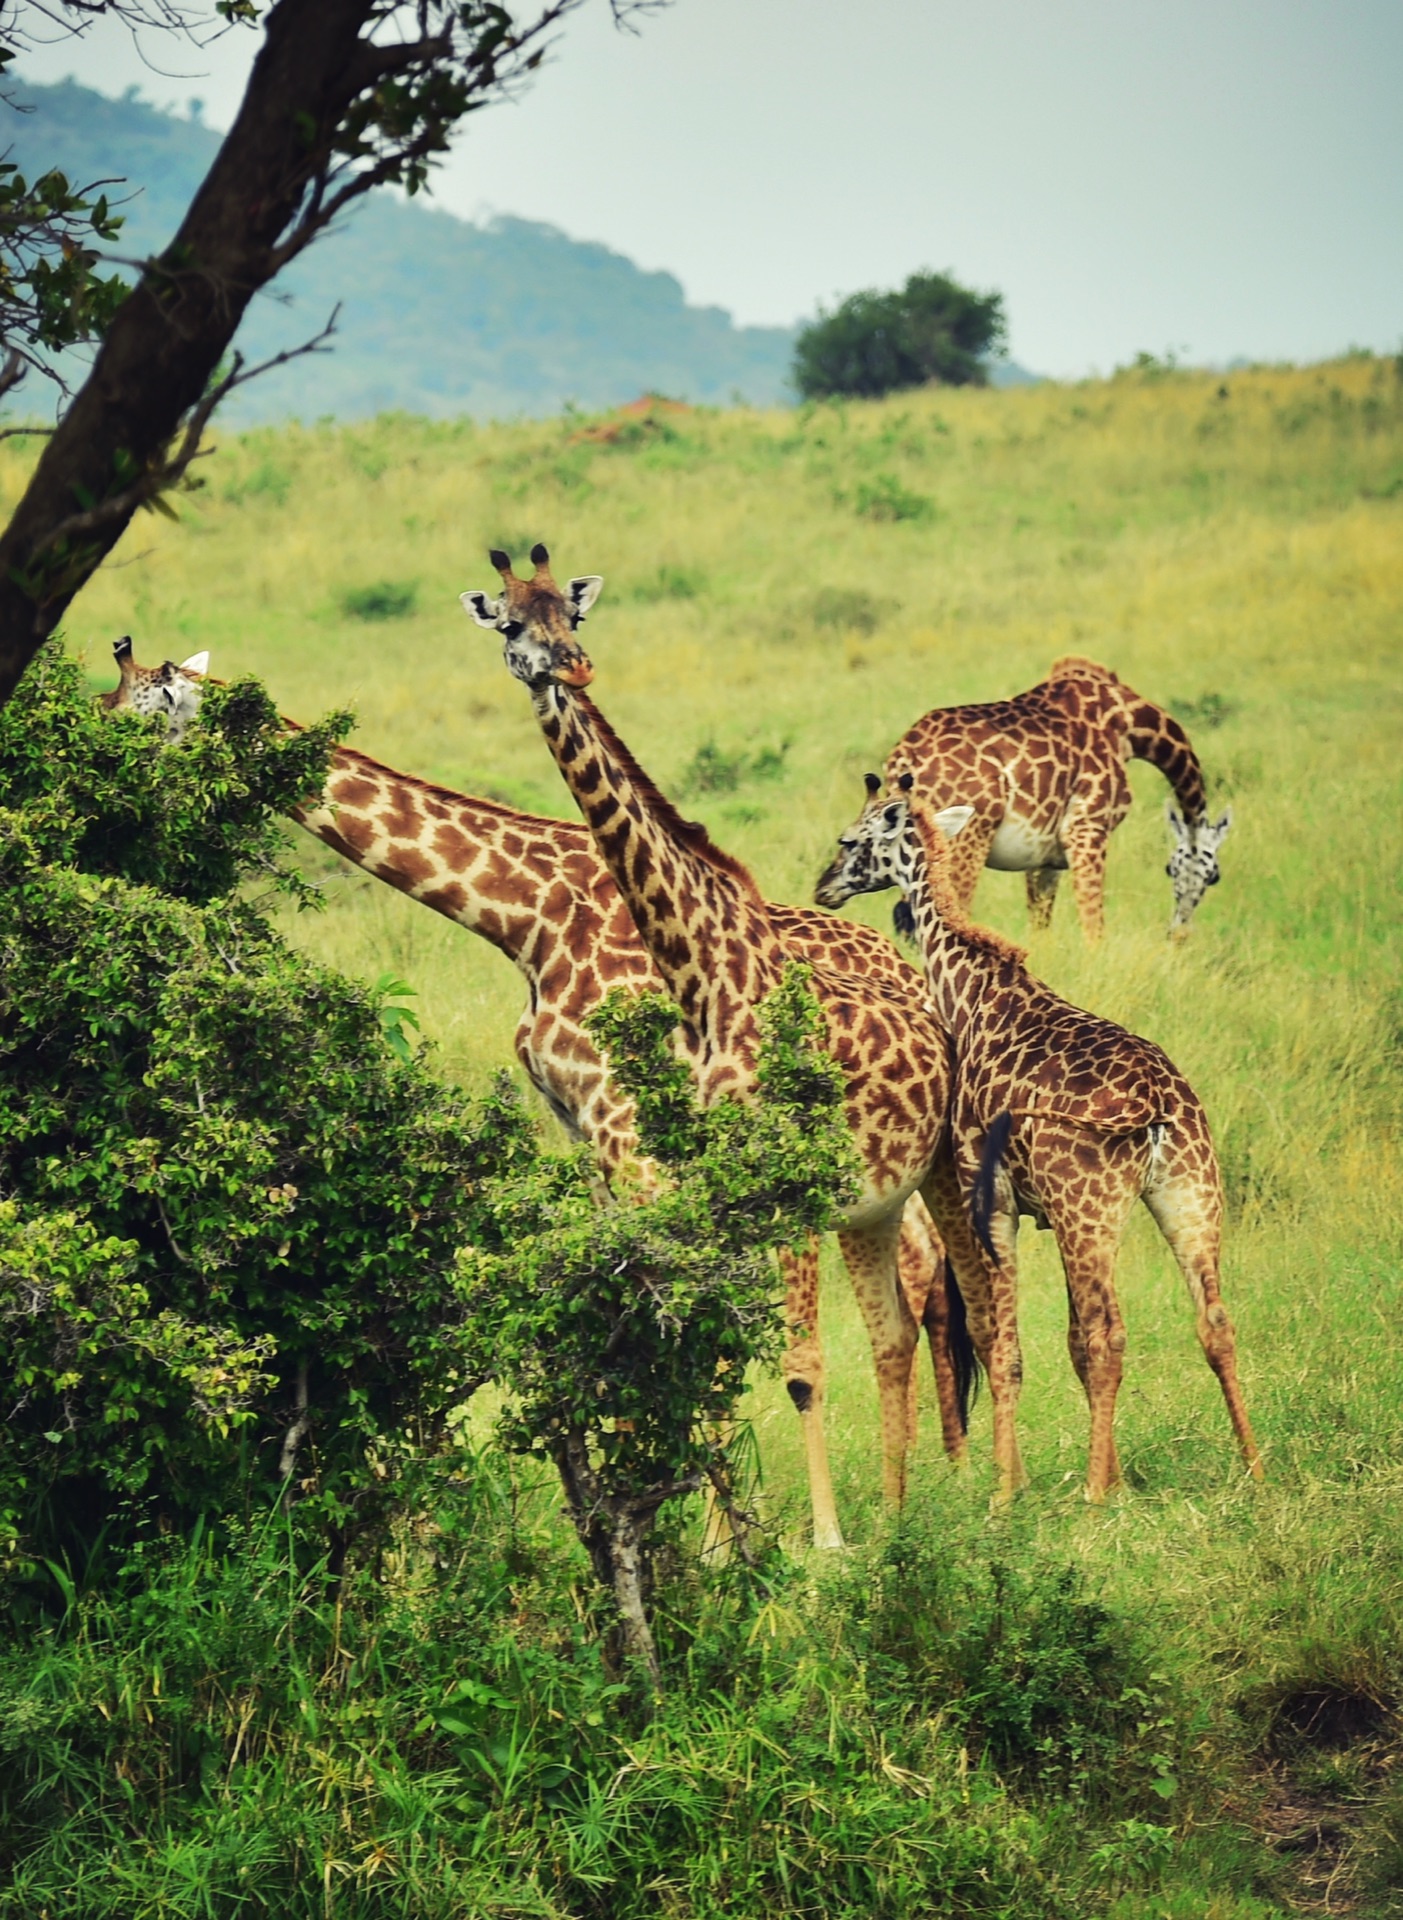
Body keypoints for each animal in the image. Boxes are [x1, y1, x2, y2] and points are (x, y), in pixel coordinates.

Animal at [104, 637, 974, 1551]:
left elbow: (688, 1333)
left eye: (137, 714)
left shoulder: (627, 1127)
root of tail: (895, 962)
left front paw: (707, 1537)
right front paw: (666, 1520)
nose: (94, 761)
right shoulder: (584, 1130)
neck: (526, 917)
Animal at [466, 549, 1028, 1520]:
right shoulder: (717, 1194)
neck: (704, 977)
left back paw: (1000, 1499)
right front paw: (742, 1535)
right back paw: (901, 1510)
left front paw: (821, 1541)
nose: (570, 668)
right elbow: (710, 1357)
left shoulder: (783, 1189)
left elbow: (794, 1363)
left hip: (945, 1171)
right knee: (896, 1330)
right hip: (874, 1201)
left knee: (986, 1310)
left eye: (571, 616)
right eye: (509, 622)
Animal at [813, 768, 1259, 1497]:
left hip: (1091, 1209)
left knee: (1111, 1333)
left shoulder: (992, 1201)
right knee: (1213, 1322)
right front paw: (1102, 1475)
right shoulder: (1038, 1211)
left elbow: (1009, 1345)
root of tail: (1159, 1105)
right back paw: (1254, 1468)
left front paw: (1006, 1493)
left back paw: (1093, 1496)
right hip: (1190, 1192)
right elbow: (1064, 1343)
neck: (967, 991)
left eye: (852, 838)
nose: (825, 884)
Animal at [882, 656, 1236, 940]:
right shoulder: (1087, 828)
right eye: (1214, 876)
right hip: (965, 838)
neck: (1129, 726)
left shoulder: (1044, 857)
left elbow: (1040, 928)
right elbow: (1094, 928)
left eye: (1169, 869)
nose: (1179, 934)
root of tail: (904, 755)